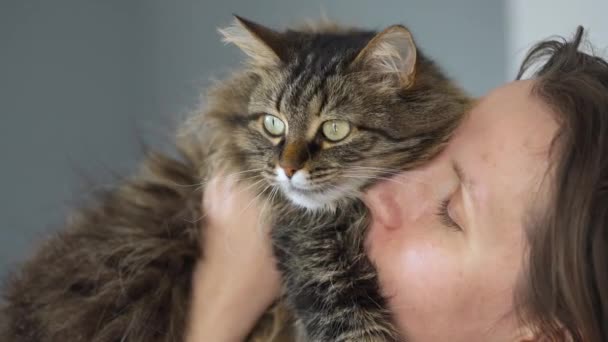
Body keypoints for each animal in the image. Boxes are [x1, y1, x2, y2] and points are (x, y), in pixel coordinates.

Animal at [0, 16, 470, 342]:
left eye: (335, 130)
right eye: (273, 124)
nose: (288, 169)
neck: (350, 211)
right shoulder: (309, 252)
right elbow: (351, 324)